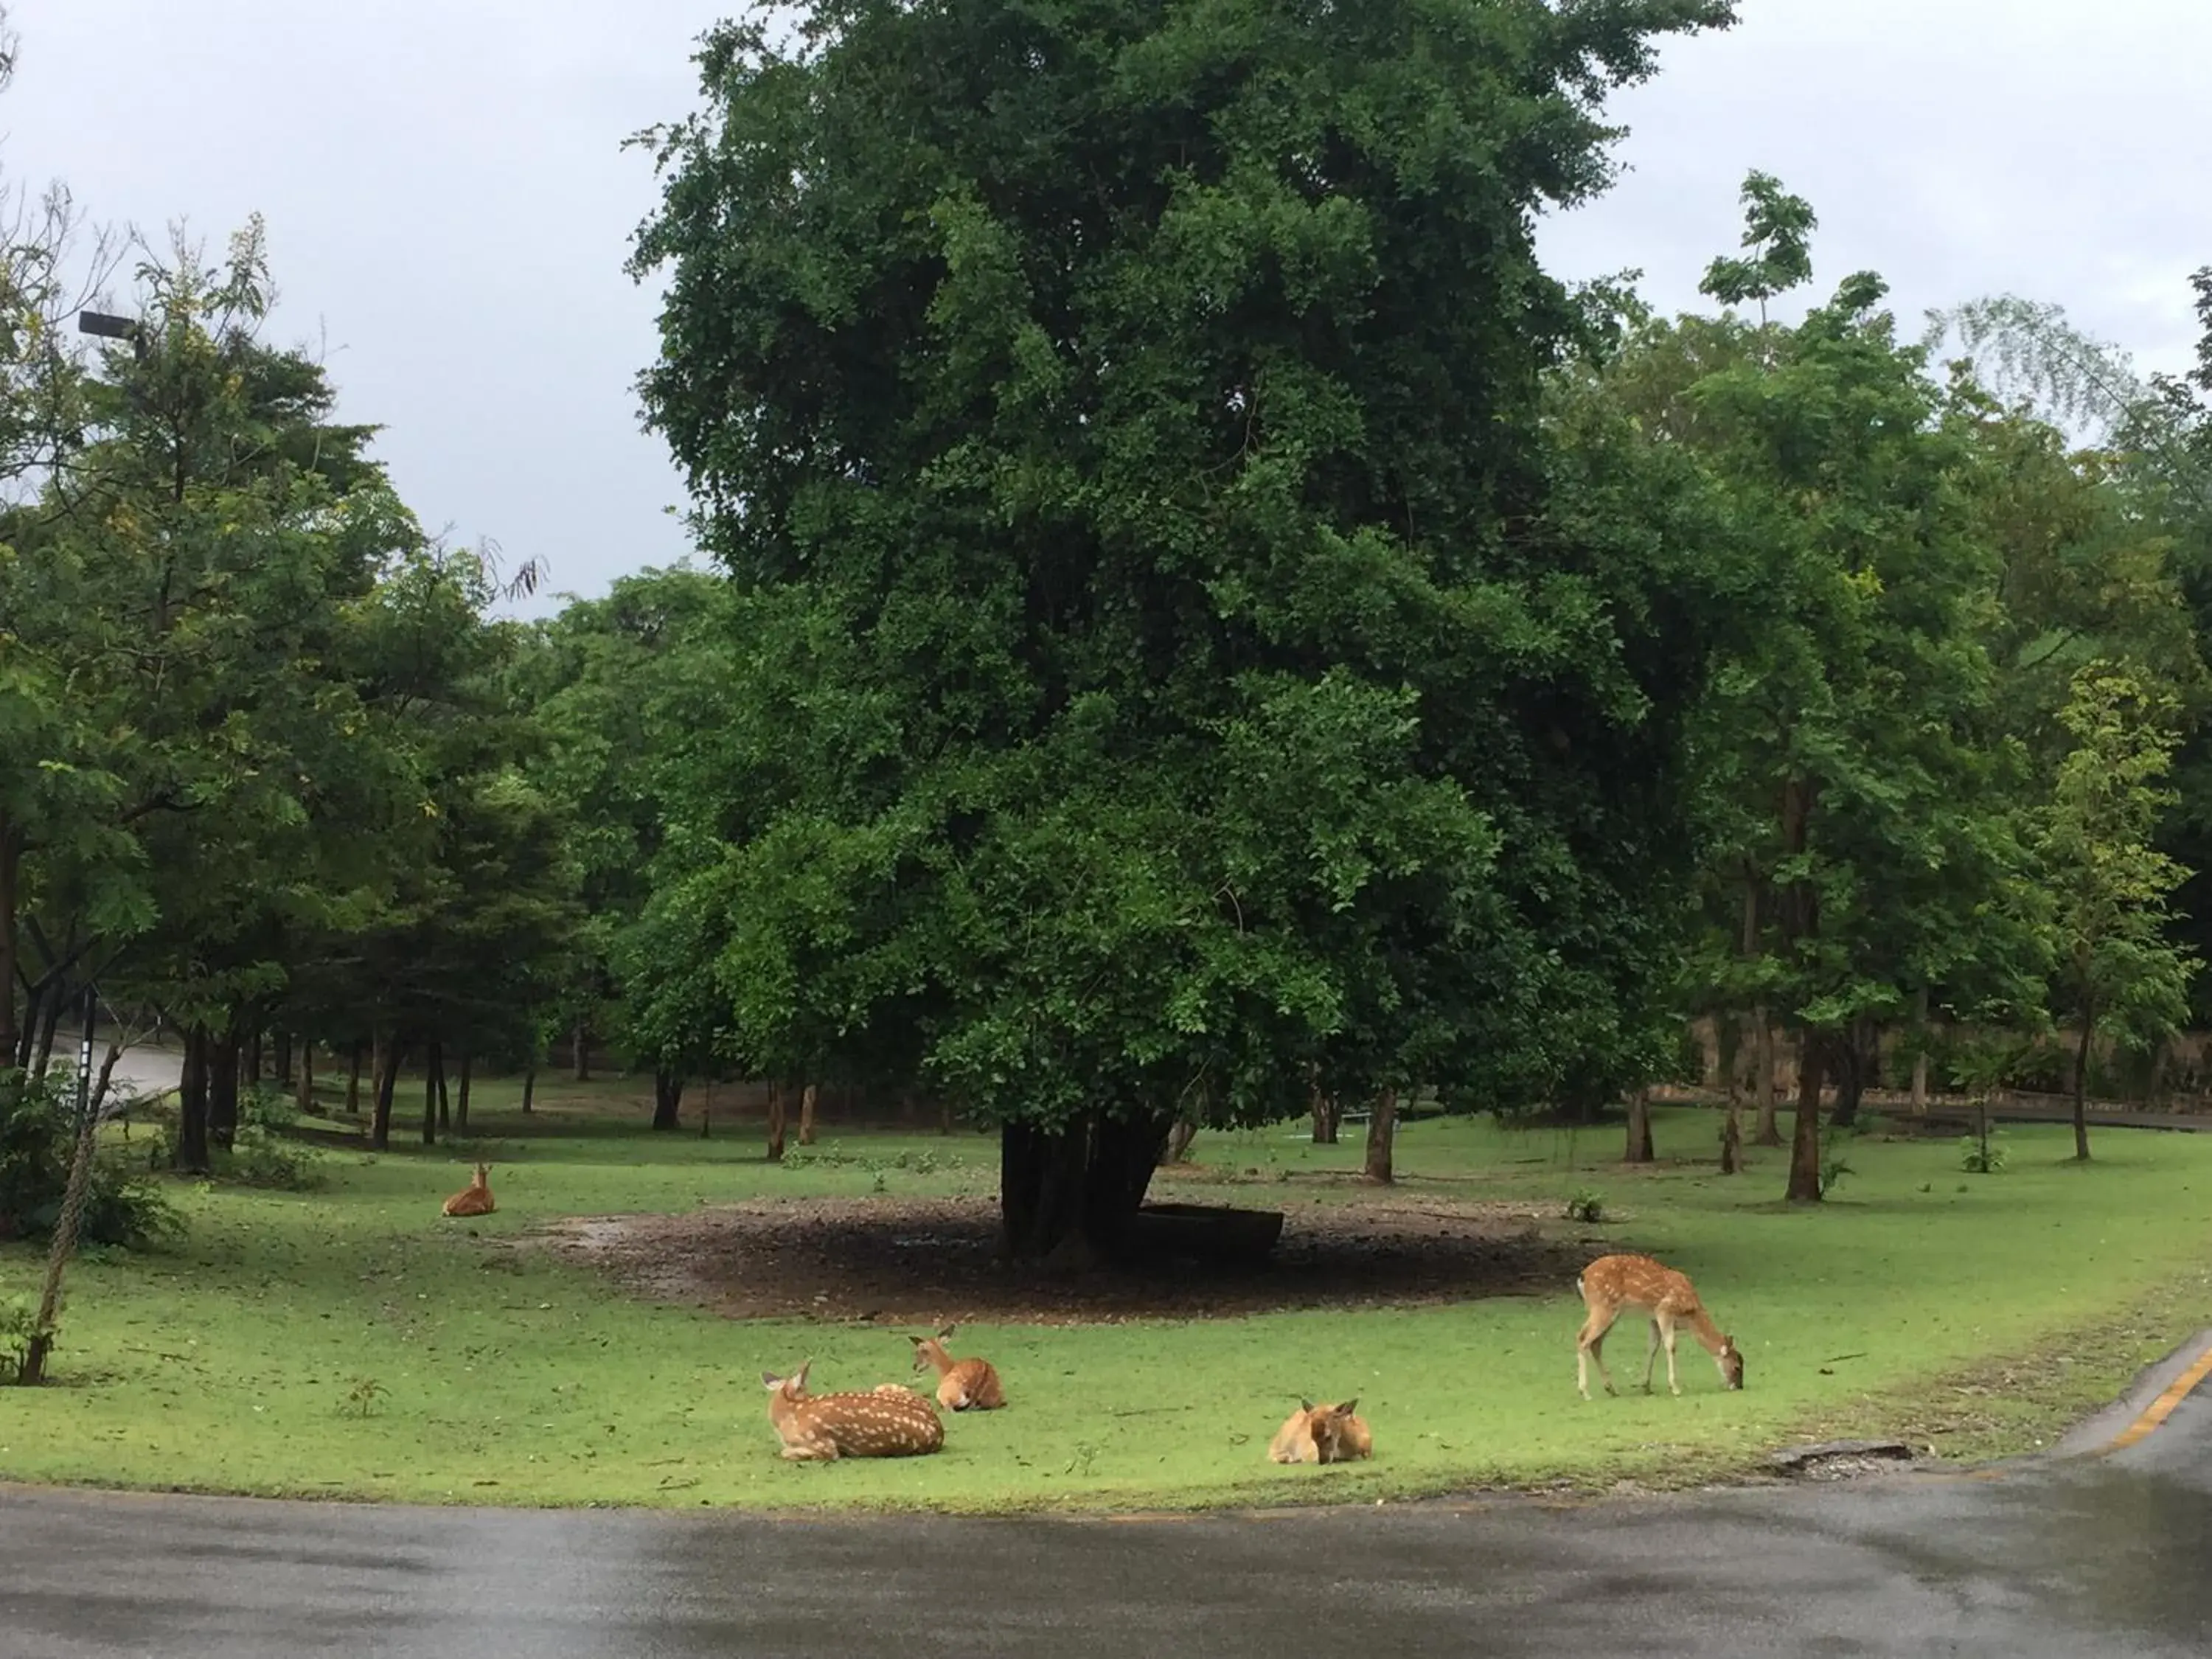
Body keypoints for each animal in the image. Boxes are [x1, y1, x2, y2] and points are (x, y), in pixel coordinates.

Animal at [1575, 1256, 1743, 1407]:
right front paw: (1675, 1388)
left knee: (1596, 1343)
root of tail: (1583, 1277)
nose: (1739, 1387)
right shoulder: (1664, 1309)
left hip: (1613, 1311)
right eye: (1737, 1367)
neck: (1690, 1317)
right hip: (1602, 1305)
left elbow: (1652, 1348)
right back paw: (1585, 1392)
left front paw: (1646, 1386)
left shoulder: (1653, 1319)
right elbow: (1671, 1346)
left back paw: (1612, 1389)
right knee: (1583, 1338)